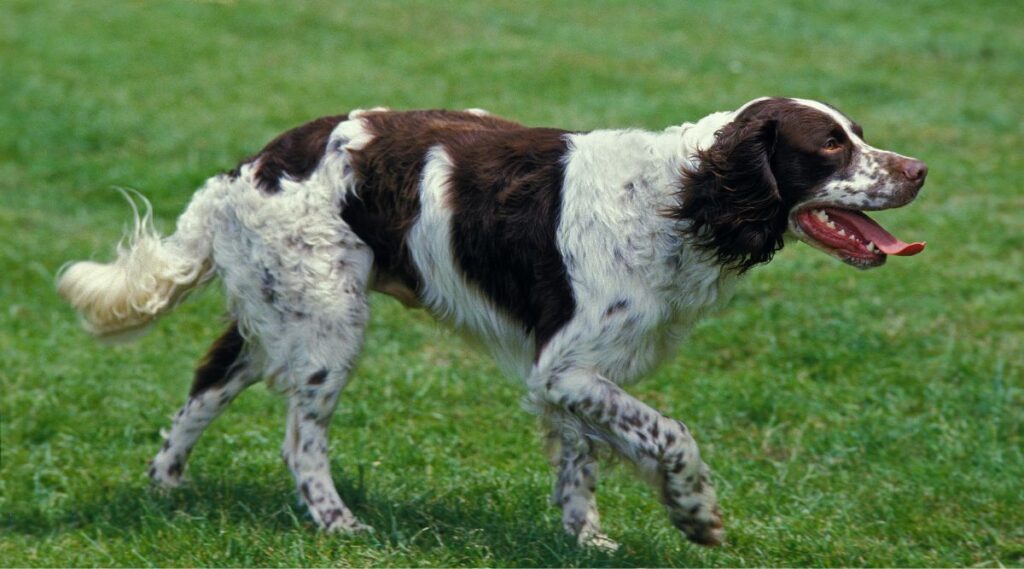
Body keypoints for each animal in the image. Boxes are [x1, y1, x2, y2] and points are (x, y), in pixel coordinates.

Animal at [58, 98, 929, 552]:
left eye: (858, 134)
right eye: (831, 145)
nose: (920, 171)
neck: (680, 198)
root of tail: (246, 168)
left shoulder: (572, 375)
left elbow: (586, 462)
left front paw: (592, 540)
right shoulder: (566, 367)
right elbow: (672, 433)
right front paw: (695, 510)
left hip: (281, 314)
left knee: (205, 384)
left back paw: (166, 487)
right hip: (330, 325)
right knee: (300, 440)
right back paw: (339, 523)